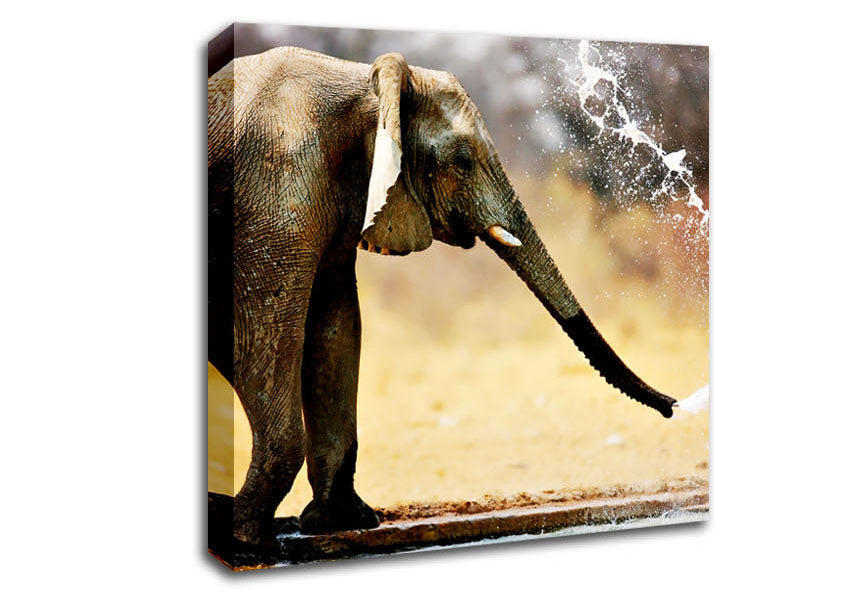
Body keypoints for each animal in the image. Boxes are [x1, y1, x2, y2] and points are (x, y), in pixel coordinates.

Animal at [207, 46, 677, 549]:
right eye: (464, 160)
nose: (674, 406)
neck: (368, 84)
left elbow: (334, 326)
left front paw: (345, 521)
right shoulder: (275, 180)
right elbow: (259, 333)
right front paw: (248, 538)